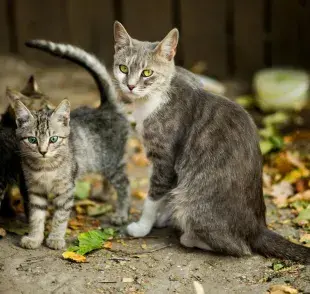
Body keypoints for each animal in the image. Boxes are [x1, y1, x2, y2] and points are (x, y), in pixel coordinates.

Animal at [8, 42, 129, 249]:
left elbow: (60, 216)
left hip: (112, 163)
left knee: (124, 184)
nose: (43, 151)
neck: (45, 167)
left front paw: (55, 238)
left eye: (53, 139)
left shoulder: (66, 190)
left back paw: (121, 214)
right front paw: (34, 238)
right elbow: (36, 216)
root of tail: (105, 107)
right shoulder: (35, 191)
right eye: (32, 140)